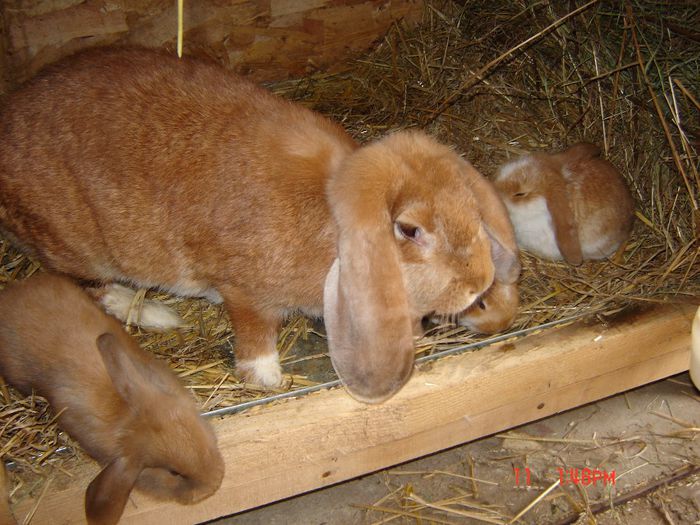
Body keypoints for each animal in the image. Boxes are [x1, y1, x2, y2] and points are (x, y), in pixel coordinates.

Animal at [0, 47, 516, 404]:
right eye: (409, 230)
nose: (479, 283)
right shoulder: (244, 291)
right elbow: (254, 333)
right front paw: (266, 378)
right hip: (75, 244)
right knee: (95, 287)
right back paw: (159, 315)